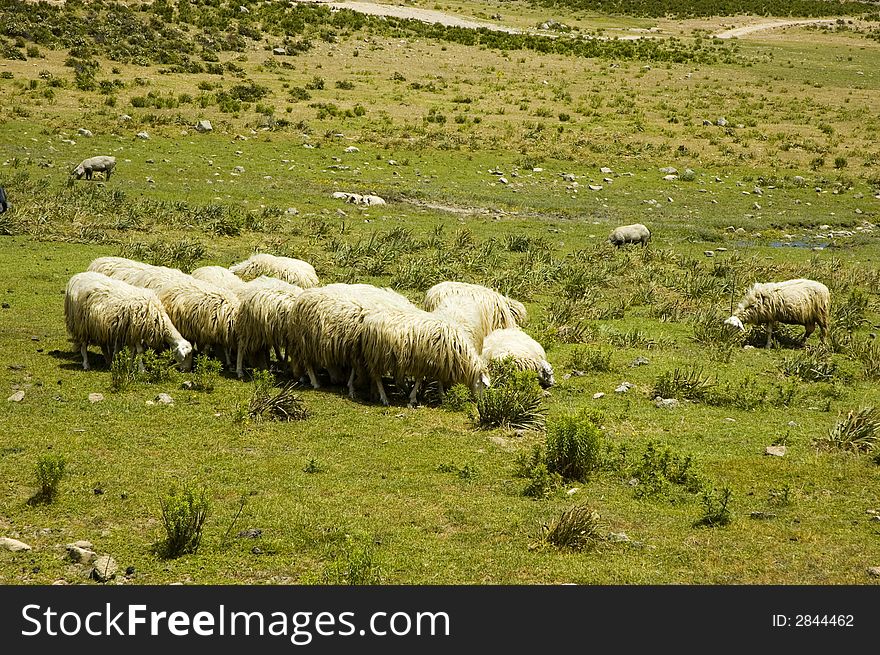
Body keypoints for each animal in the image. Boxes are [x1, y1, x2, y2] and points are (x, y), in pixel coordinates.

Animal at [63, 272, 191, 374]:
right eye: (186, 355)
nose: (186, 370)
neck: (157, 317)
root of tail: (75, 278)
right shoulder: (136, 331)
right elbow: (139, 351)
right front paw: (142, 370)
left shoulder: (131, 332)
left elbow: (133, 352)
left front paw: (130, 366)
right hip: (81, 322)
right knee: (84, 345)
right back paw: (86, 364)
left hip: (96, 325)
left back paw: (108, 361)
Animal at [360, 306, 496, 408]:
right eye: (485, 386)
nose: (481, 403)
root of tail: (369, 319)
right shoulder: (427, 361)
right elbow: (421, 379)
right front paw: (413, 398)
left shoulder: (441, 361)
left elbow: (438, 379)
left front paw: (441, 395)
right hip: (377, 355)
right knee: (377, 377)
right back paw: (384, 398)